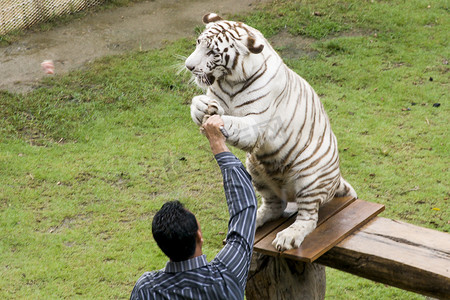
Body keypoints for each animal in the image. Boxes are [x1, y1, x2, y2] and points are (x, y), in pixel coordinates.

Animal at [185, 12, 356, 251]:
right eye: (198, 42)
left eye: (212, 52)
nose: (188, 66)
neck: (229, 81)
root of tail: (337, 178)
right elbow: (197, 103)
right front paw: (203, 107)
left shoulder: (257, 124)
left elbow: (236, 123)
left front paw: (217, 121)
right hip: (256, 170)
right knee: (275, 206)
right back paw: (253, 220)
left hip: (309, 178)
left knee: (309, 217)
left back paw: (288, 236)